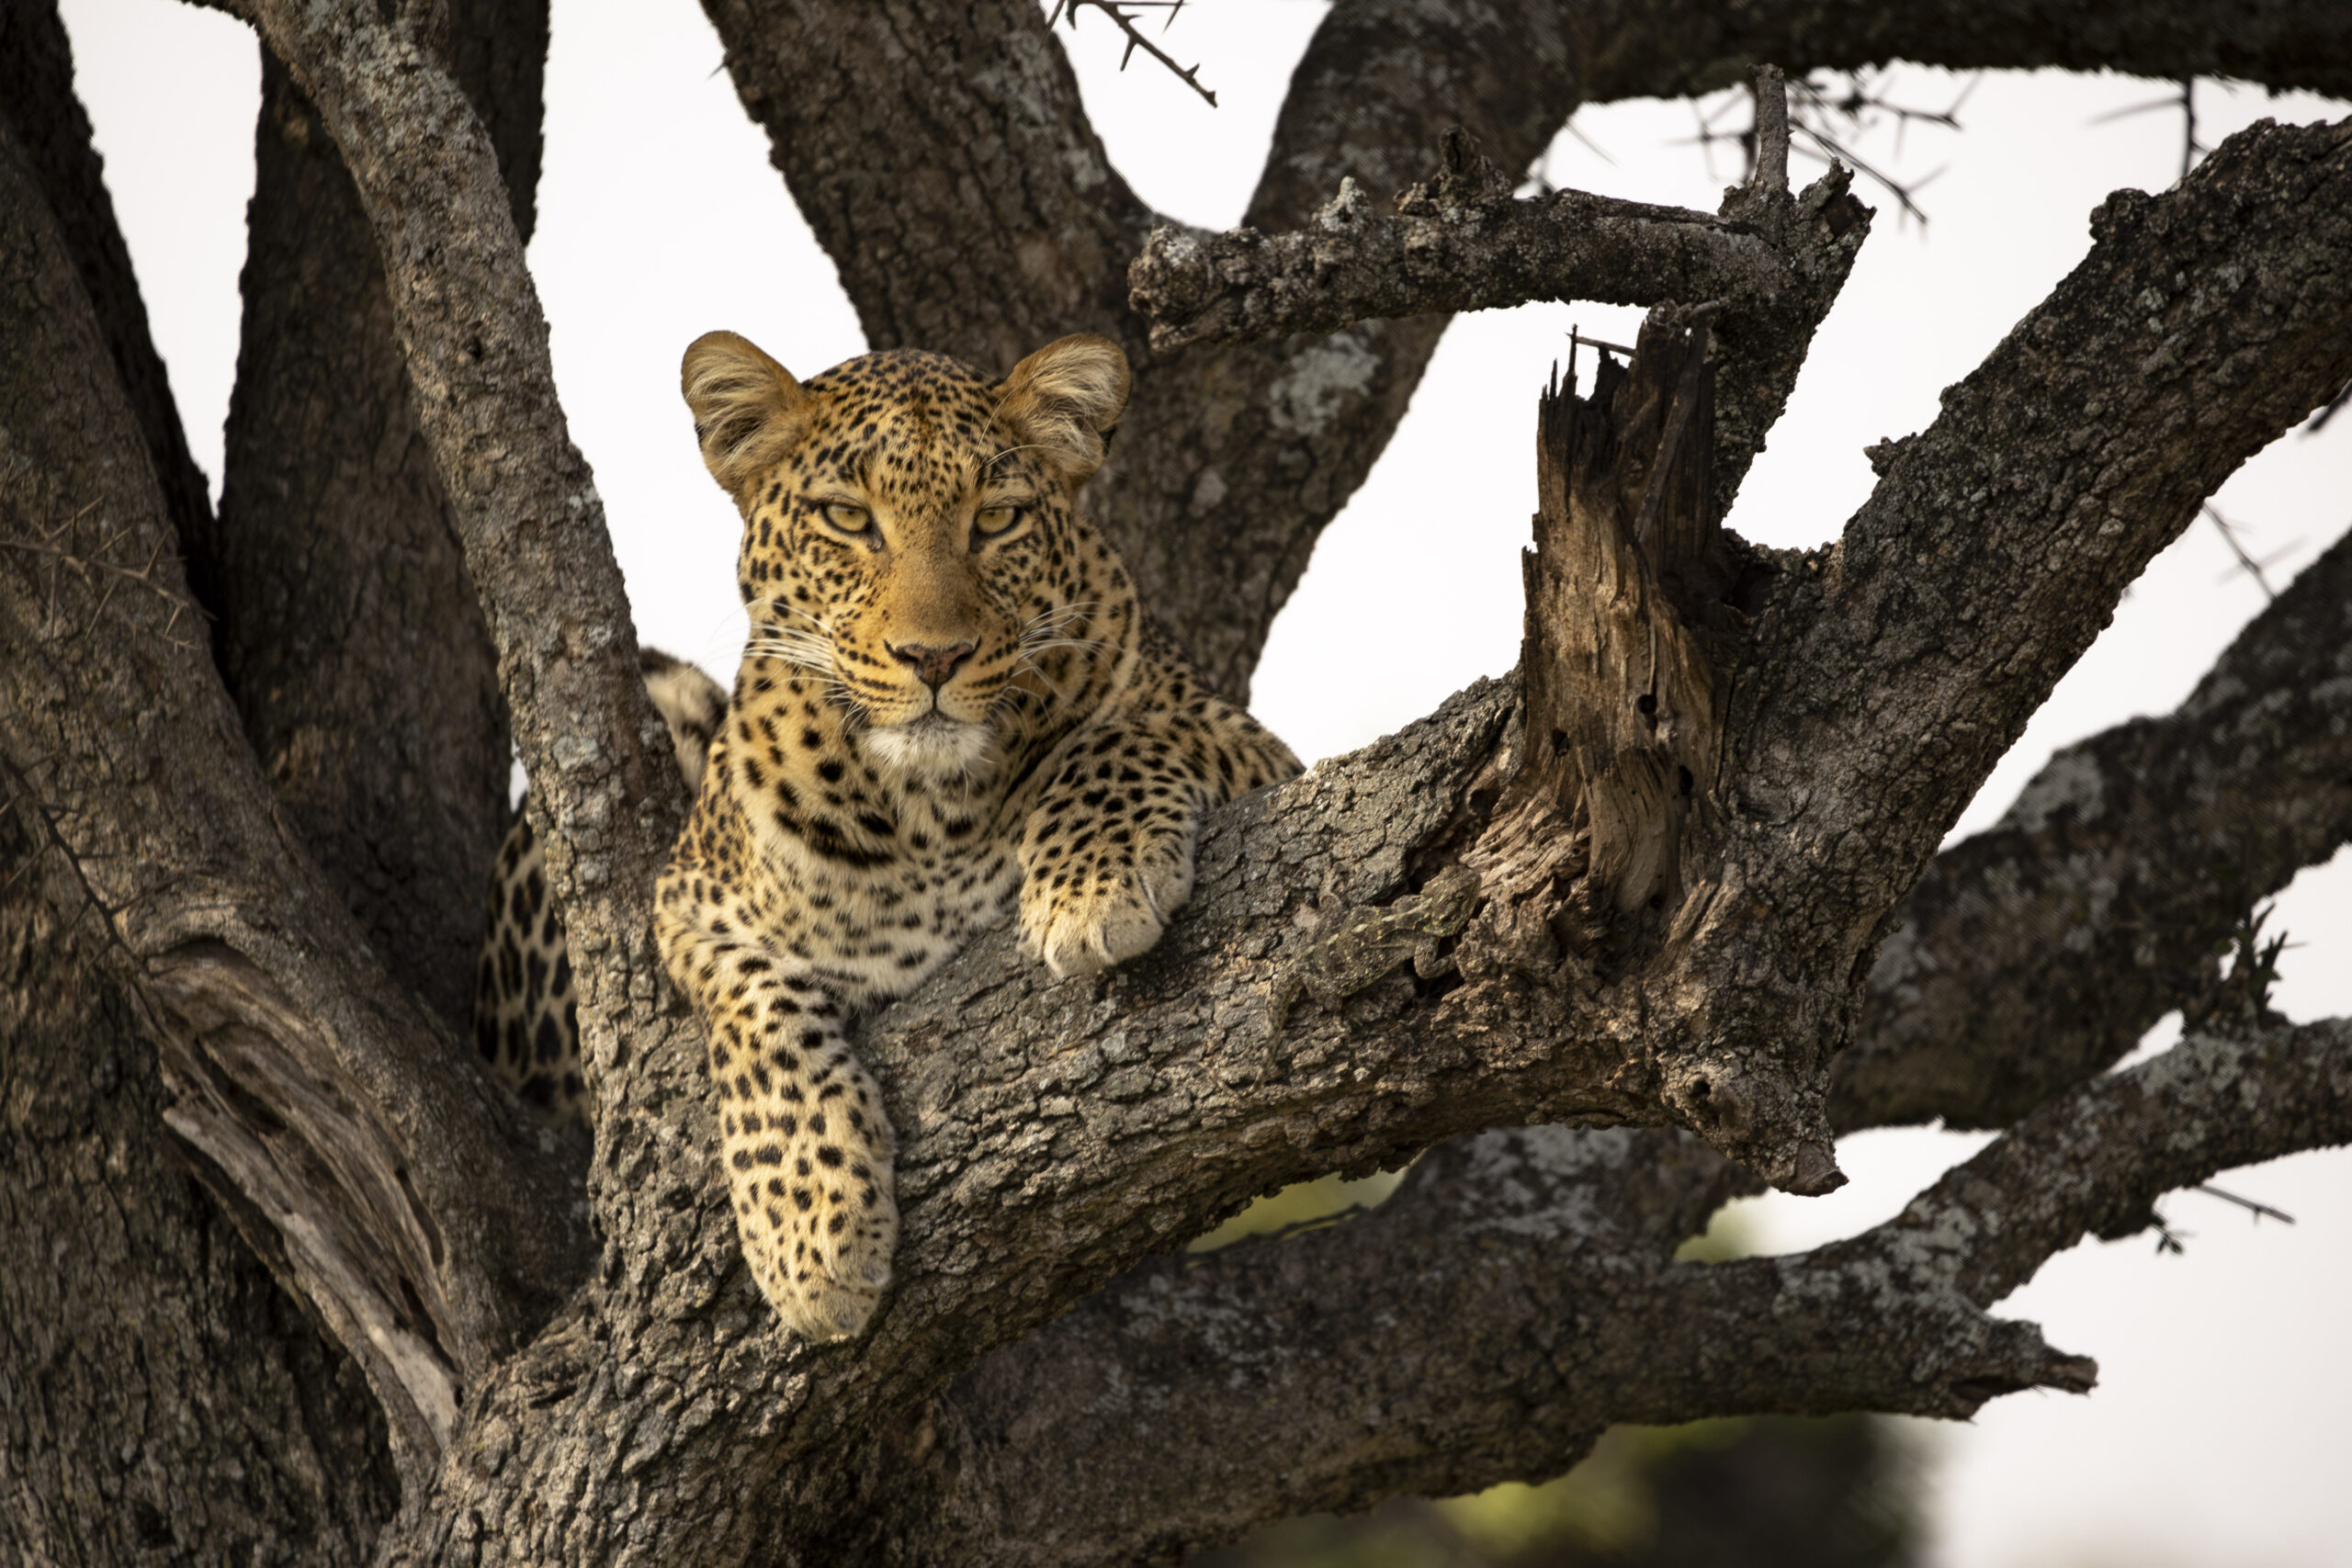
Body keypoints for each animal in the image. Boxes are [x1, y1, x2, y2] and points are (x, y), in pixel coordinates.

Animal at [653, 329, 1298, 1335]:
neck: (928, 814)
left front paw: (1090, 891)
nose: (934, 657)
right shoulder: (689, 902)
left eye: (995, 520)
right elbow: (758, 1017)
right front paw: (810, 1239)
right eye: (848, 518)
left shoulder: (1254, 746)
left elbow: (1118, 735)